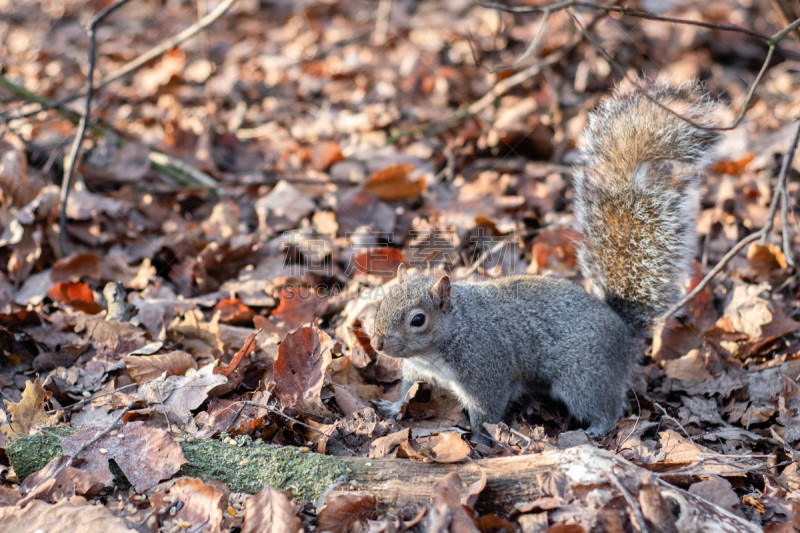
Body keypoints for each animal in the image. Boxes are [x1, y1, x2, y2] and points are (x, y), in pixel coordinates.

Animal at [368, 81, 720, 442]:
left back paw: (595, 429)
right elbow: (407, 389)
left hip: (584, 377)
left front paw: (479, 439)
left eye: (418, 320)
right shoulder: (417, 371)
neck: (447, 337)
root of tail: (622, 331)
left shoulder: (486, 370)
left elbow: (486, 412)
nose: (377, 343)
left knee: (607, 407)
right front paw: (392, 408)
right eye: (382, 300)